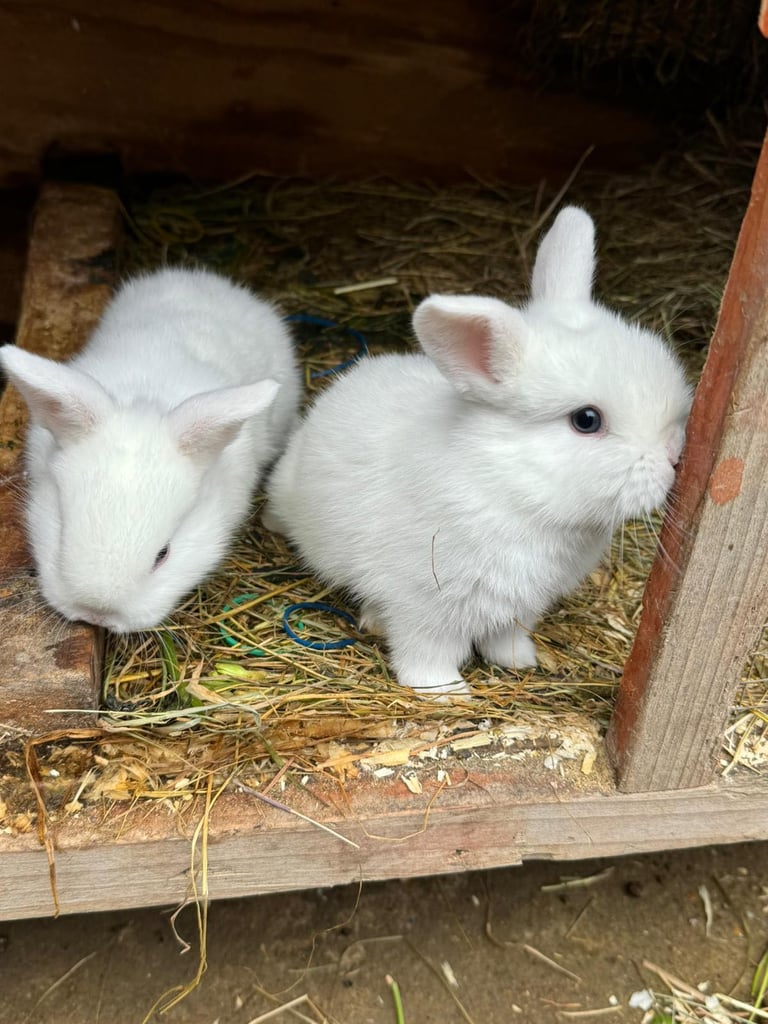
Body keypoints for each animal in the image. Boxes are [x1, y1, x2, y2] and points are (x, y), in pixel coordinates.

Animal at [264, 206, 692, 696]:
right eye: (586, 420)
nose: (674, 456)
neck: (515, 490)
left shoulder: (520, 607)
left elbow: (507, 636)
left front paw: (520, 662)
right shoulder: (424, 602)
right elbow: (424, 652)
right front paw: (445, 692)